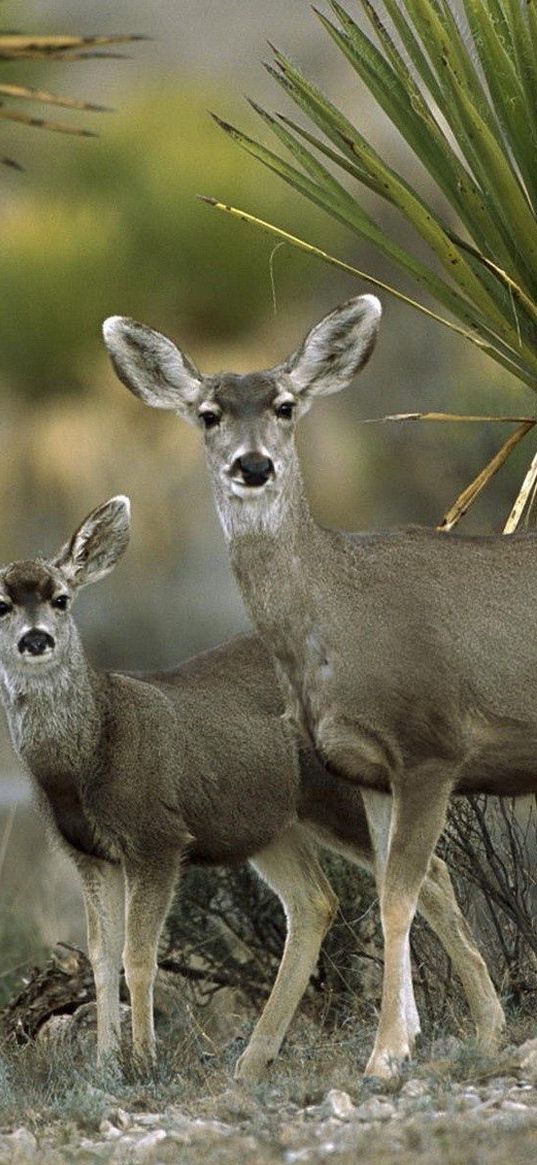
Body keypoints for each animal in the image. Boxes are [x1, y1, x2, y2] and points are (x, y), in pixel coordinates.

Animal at [0, 493, 500, 1081]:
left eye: (61, 598)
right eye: (2, 605)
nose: (36, 640)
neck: (90, 752)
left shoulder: (157, 837)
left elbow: (138, 956)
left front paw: (143, 1062)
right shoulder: (87, 855)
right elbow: (99, 957)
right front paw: (104, 1066)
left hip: (337, 798)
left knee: (428, 873)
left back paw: (487, 1028)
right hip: (269, 825)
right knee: (316, 900)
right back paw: (256, 1058)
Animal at [102, 295, 528, 1076]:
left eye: (285, 404)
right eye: (208, 413)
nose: (253, 464)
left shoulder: (430, 742)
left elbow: (396, 897)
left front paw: (385, 1053)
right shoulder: (366, 767)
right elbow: (405, 887)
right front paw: (445, 1034)